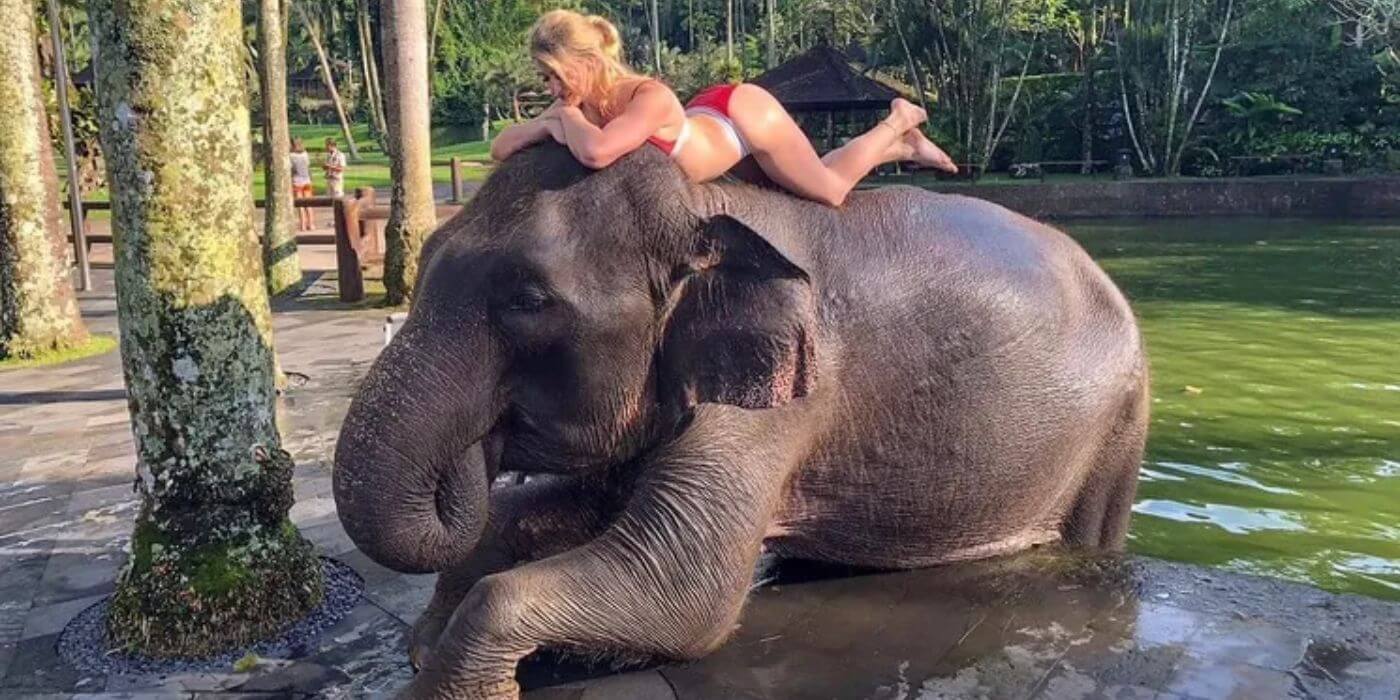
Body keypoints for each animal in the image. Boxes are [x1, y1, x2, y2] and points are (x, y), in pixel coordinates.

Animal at [332, 143, 1149, 699]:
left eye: (527, 299)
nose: (477, 445)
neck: (707, 205)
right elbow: (576, 507)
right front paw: (427, 640)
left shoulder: (784, 400)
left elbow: (683, 588)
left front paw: (449, 681)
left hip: (1118, 425)